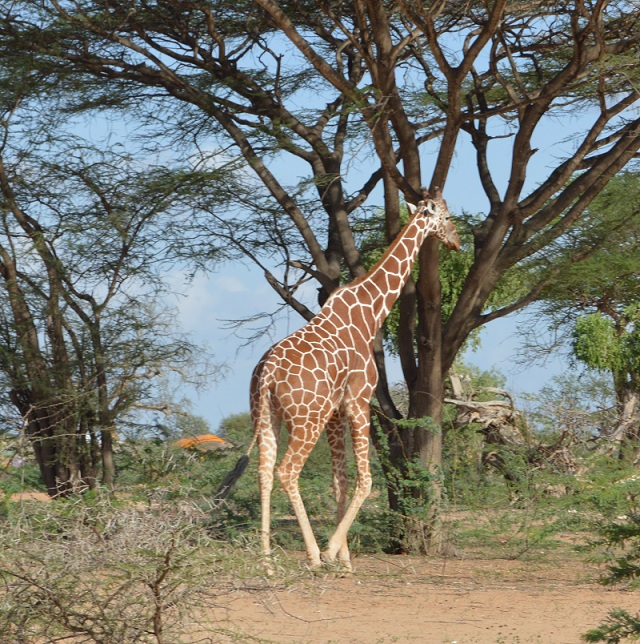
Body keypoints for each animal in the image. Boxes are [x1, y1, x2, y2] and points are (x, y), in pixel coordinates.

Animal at [246, 187, 460, 568]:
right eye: (447, 217)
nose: (457, 242)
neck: (372, 311)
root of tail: (267, 373)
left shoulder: (335, 410)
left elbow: (339, 480)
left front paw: (344, 559)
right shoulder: (358, 400)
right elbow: (366, 480)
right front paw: (333, 551)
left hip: (266, 416)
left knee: (264, 472)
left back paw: (268, 561)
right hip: (306, 419)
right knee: (287, 471)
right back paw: (313, 555)